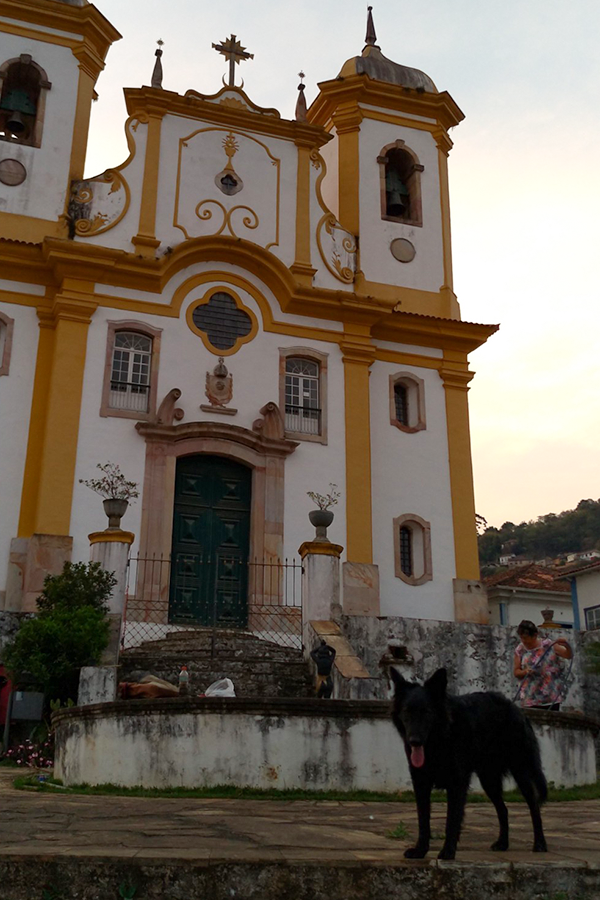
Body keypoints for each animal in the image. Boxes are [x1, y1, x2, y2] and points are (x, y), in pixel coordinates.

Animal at [390, 668, 548, 856]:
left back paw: (540, 843)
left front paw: (448, 852)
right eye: (407, 711)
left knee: (534, 806)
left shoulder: (457, 783)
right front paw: (420, 850)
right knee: (503, 809)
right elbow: (423, 819)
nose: (414, 741)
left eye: (427, 712)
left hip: (520, 772)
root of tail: (516, 709)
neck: (441, 738)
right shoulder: (421, 781)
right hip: (489, 780)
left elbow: (452, 819)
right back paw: (503, 843)